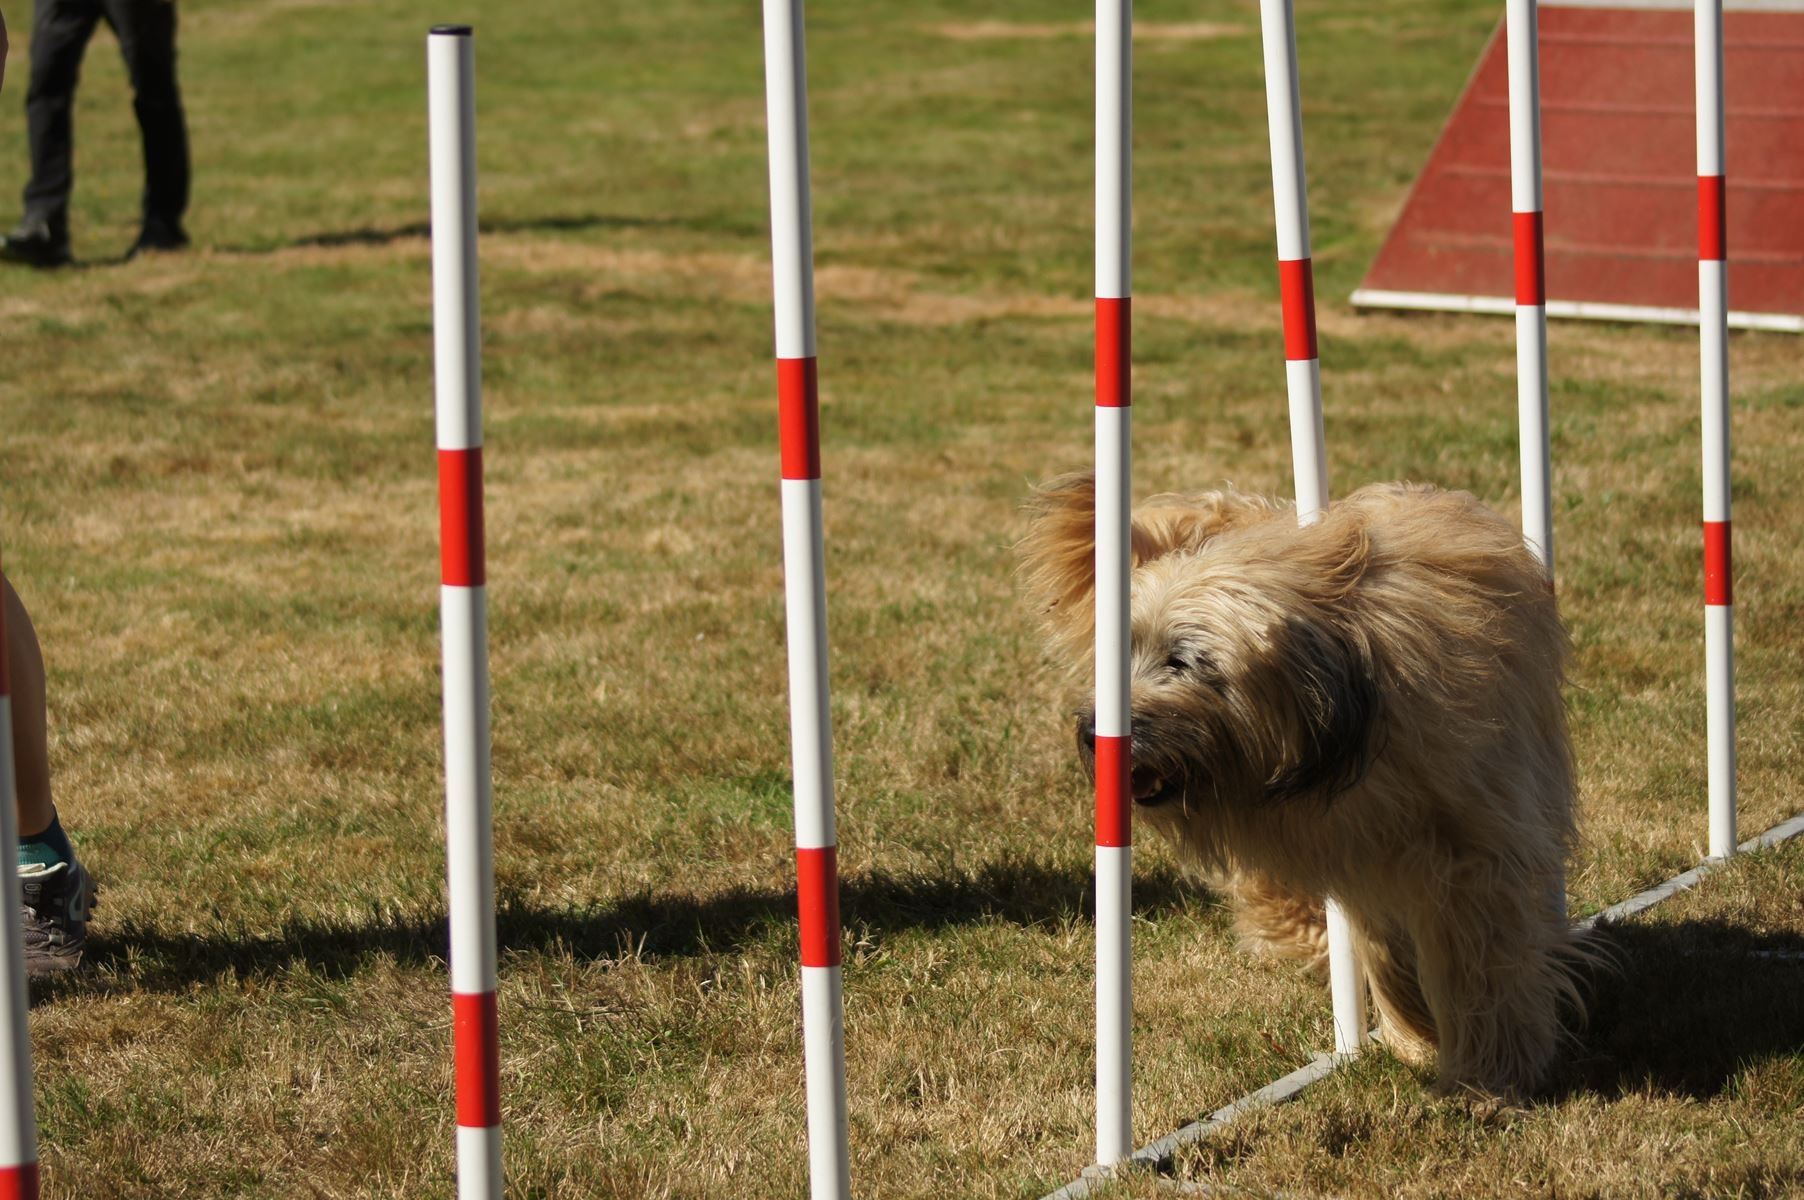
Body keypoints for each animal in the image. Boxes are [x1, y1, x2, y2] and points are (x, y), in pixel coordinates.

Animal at [1024, 472, 1587, 1097]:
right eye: (1120, 655)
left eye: (1183, 661)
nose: (1094, 732)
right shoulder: (1360, 855)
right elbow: (1388, 944)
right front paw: (1418, 1030)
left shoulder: (1471, 845)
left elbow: (1478, 955)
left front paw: (1492, 1067)